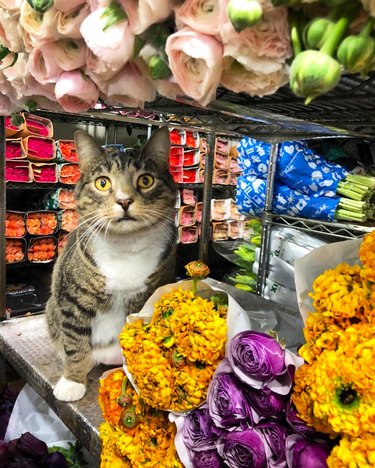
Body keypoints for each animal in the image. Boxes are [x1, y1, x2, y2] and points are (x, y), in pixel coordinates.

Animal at [45, 127, 178, 402]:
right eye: (103, 183)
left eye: (145, 180)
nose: (124, 200)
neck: (124, 247)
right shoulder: (72, 299)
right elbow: (75, 341)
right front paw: (72, 382)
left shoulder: (145, 300)